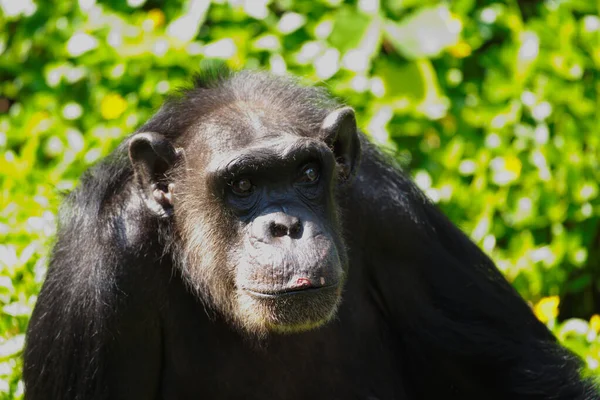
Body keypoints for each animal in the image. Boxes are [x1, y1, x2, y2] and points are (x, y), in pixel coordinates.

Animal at [21, 67, 596, 398]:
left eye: (307, 174)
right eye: (243, 184)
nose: (286, 226)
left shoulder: (398, 217)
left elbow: (519, 374)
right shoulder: (94, 283)